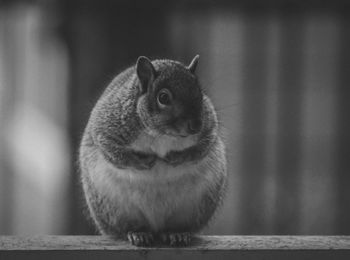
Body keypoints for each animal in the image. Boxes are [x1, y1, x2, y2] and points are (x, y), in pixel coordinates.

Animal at [78, 54, 227, 246]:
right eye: (163, 97)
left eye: (200, 93)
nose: (195, 126)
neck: (161, 134)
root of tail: (156, 227)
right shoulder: (107, 128)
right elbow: (114, 152)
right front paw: (143, 162)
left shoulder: (209, 128)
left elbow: (201, 148)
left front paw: (176, 158)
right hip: (115, 209)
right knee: (130, 227)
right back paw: (138, 233)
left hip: (194, 208)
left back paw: (177, 233)